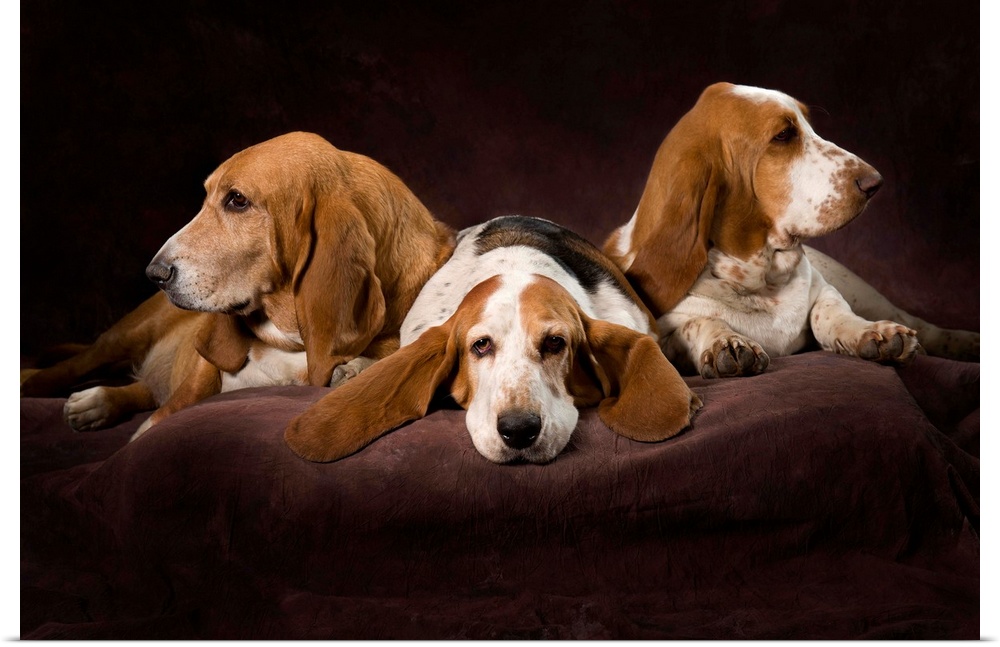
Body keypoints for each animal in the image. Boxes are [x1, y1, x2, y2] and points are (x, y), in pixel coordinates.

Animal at [21, 132, 456, 438]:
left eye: (237, 200)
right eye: (206, 197)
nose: (155, 274)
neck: (289, 341)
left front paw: (354, 369)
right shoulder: (197, 373)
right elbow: (167, 411)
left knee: (142, 388)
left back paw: (100, 403)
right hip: (118, 339)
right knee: (62, 371)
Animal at [603, 82, 980, 378]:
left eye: (808, 126)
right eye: (784, 135)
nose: (875, 182)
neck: (761, 280)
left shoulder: (826, 290)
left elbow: (831, 314)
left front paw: (872, 335)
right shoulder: (665, 337)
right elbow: (698, 323)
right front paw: (726, 342)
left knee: (926, 326)